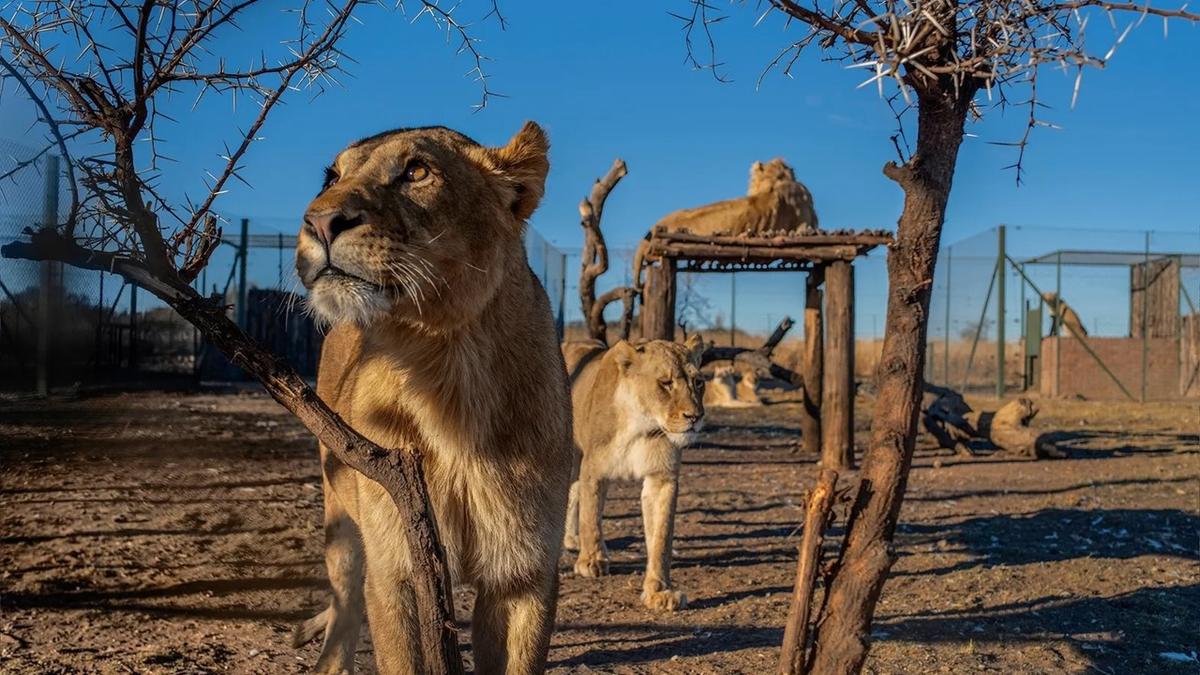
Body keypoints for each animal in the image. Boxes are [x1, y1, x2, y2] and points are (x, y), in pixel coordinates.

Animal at [290, 123, 571, 667]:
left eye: (417, 171)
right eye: (332, 177)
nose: (318, 220)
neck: (448, 369)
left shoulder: (524, 573)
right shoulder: (396, 567)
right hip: (341, 519)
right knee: (345, 602)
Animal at [559, 336, 700, 610]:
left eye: (698, 382)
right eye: (665, 383)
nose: (695, 417)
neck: (641, 426)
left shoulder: (662, 478)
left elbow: (661, 538)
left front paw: (660, 591)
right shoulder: (594, 467)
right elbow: (591, 516)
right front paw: (591, 561)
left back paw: (571, 539)